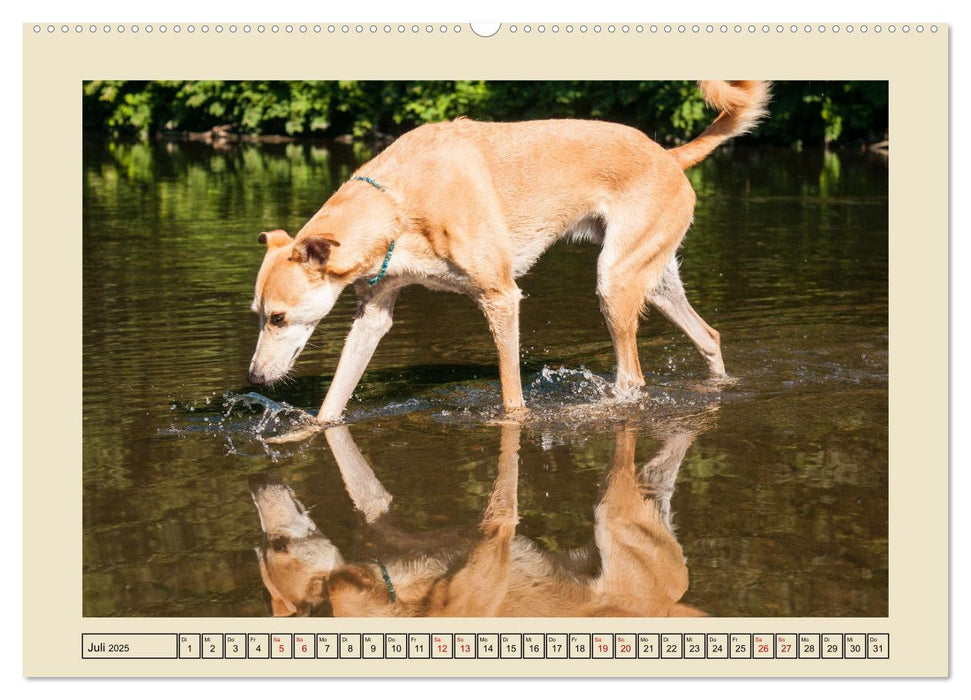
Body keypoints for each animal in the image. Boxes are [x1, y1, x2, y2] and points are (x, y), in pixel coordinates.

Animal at [252, 82, 776, 422]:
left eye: (278, 317)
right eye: (257, 314)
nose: (254, 379)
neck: (397, 204)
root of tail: (668, 155)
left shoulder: (500, 298)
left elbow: (511, 397)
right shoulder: (373, 314)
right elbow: (335, 399)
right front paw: (307, 432)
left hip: (615, 281)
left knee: (632, 378)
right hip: (654, 278)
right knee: (709, 337)